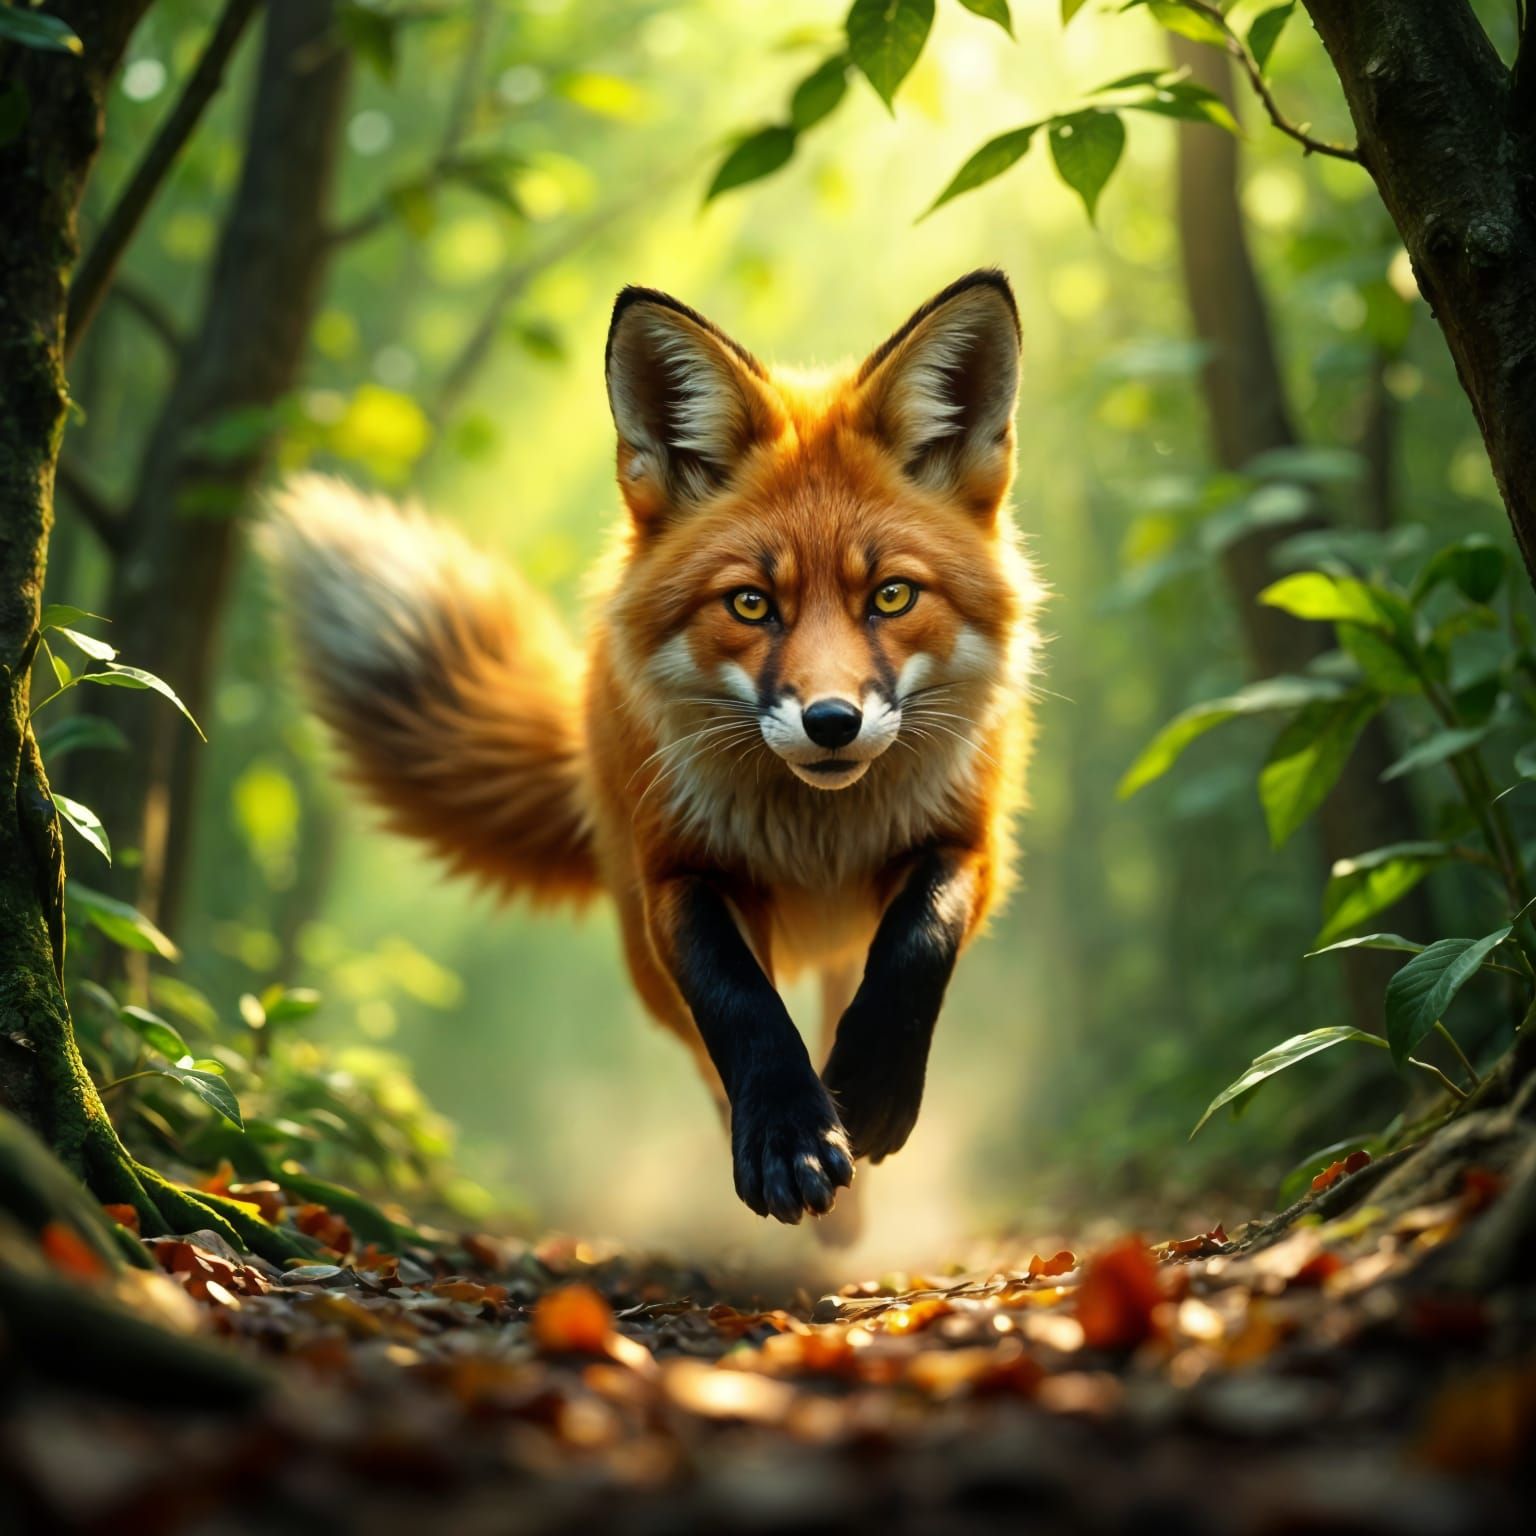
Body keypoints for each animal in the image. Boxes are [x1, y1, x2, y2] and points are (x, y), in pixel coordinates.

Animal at [264, 269, 1043, 1230]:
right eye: (751, 604)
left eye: (892, 596)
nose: (831, 721)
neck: (819, 836)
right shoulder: (673, 871)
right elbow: (739, 1004)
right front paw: (787, 1135)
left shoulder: (970, 844)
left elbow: (915, 945)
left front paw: (868, 1093)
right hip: (643, 950)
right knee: (716, 1047)